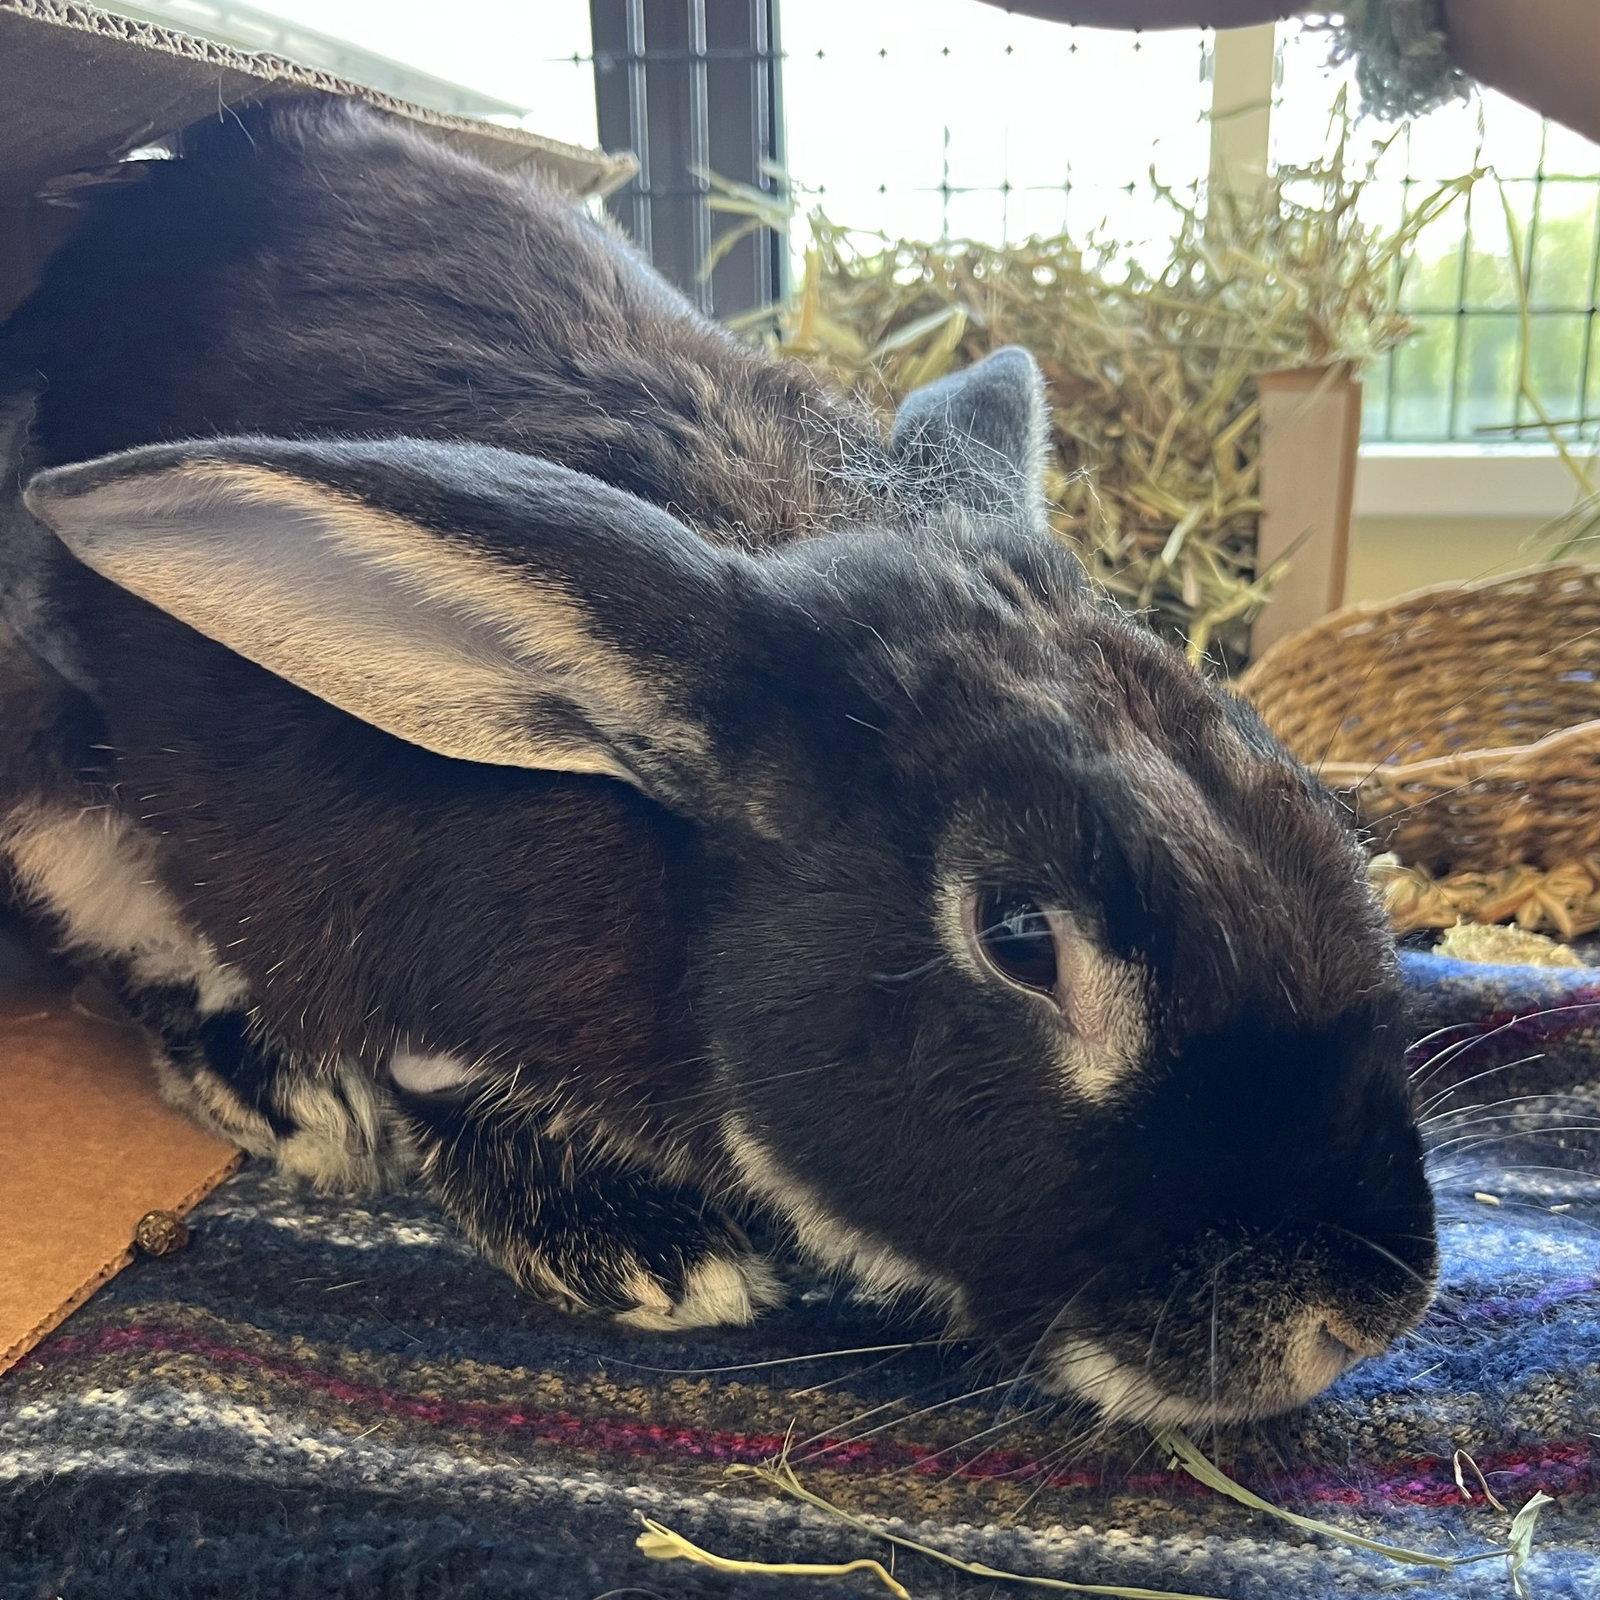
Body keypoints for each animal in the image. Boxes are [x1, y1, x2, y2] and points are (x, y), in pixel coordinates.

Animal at [0, 97, 1436, 1425]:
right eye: (1019, 937)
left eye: (1314, 808)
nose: (1361, 1311)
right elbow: (430, 1070)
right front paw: (648, 1254)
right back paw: (287, 1096)